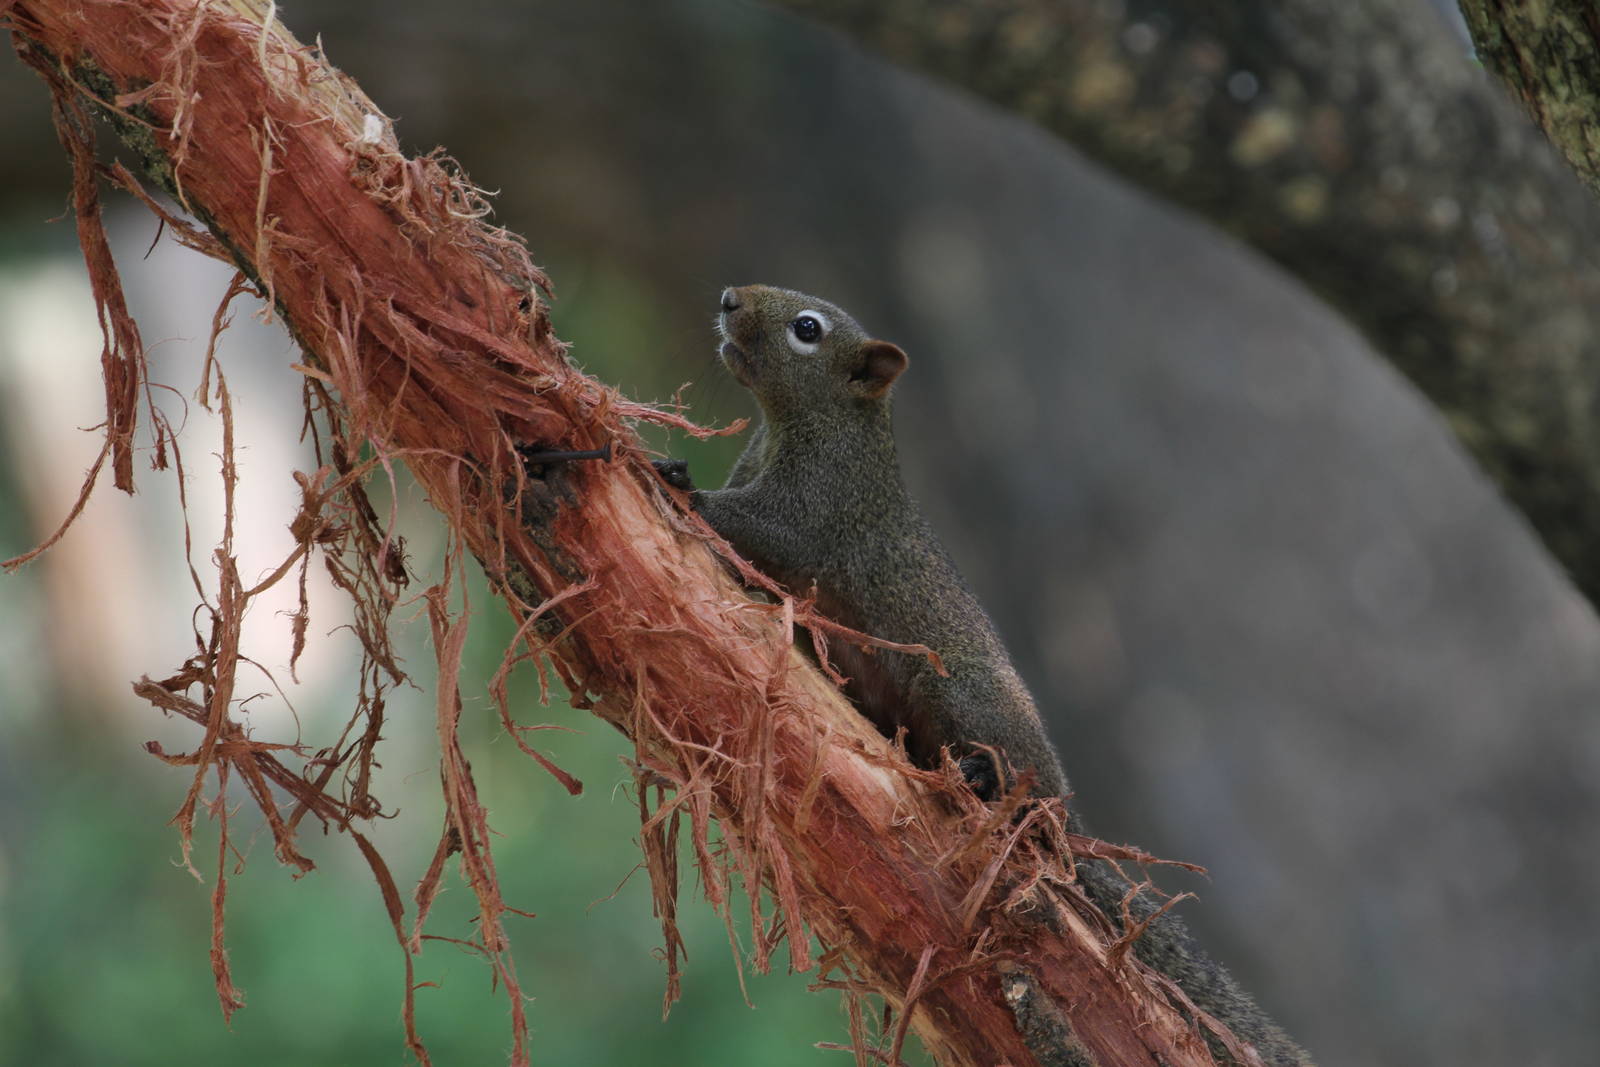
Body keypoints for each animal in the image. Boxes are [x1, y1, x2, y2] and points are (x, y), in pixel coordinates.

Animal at [656, 285, 1311, 1067]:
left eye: (807, 330)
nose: (730, 298)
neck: (808, 427)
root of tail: (1064, 805)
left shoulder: (816, 511)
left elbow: (757, 527)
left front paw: (672, 476)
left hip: (965, 697)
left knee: (1019, 799)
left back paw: (983, 778)